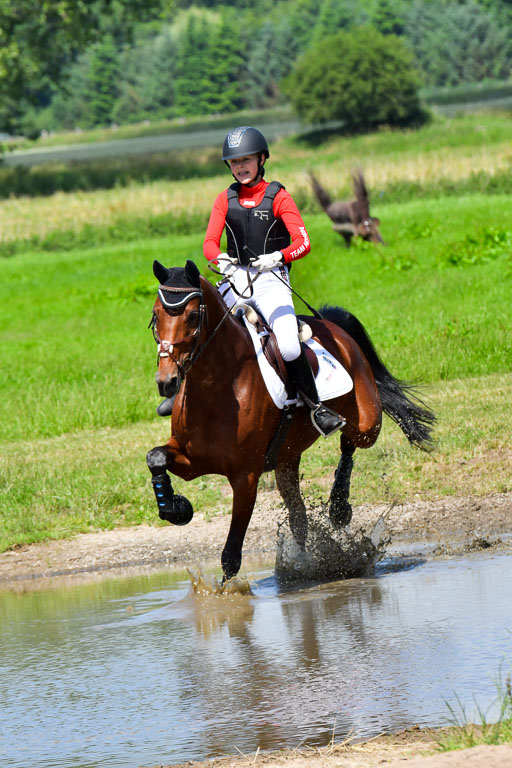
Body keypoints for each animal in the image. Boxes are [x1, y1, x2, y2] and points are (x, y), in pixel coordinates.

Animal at [146, 259, 434, 582]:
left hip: (367, 422)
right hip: (286, 459)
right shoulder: (192, 459)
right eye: (156, 316)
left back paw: (338, 506)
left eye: (194, 315)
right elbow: (155, 457)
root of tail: (330, 324)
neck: (218, 386)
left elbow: (231, 557)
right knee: (299, 517)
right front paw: (174, 508)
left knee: (350, 443)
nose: (166, 382)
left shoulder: (245, 476)